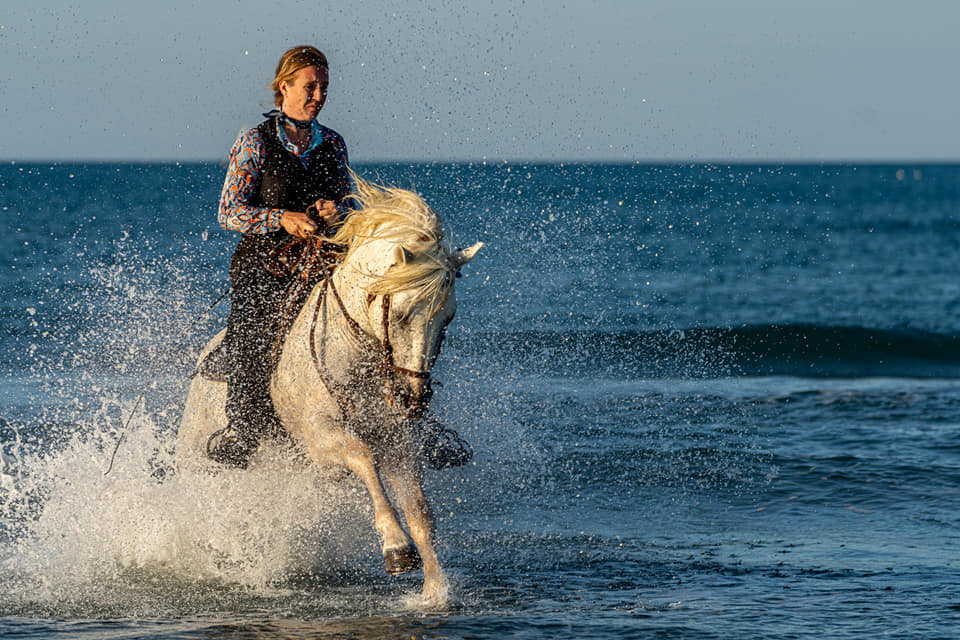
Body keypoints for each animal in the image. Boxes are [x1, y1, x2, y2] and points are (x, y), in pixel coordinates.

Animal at [175, 178, 480, 604]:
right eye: (401, 314)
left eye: (447, 319)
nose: (412, 399)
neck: (352, 350)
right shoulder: (322, 438)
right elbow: (363, 459)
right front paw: (396, 548)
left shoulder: (395, 437)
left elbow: (419, 510)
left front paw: (434, 590)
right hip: (205, 463)